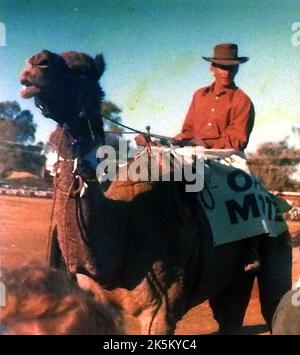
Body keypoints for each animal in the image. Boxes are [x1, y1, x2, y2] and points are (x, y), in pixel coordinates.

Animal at [19, 50, 292, 336]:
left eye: (82, 72)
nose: (37, 62)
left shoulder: (160, 311)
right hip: (233, 277)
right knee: (229, 313)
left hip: (277, 244)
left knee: (273, 303)